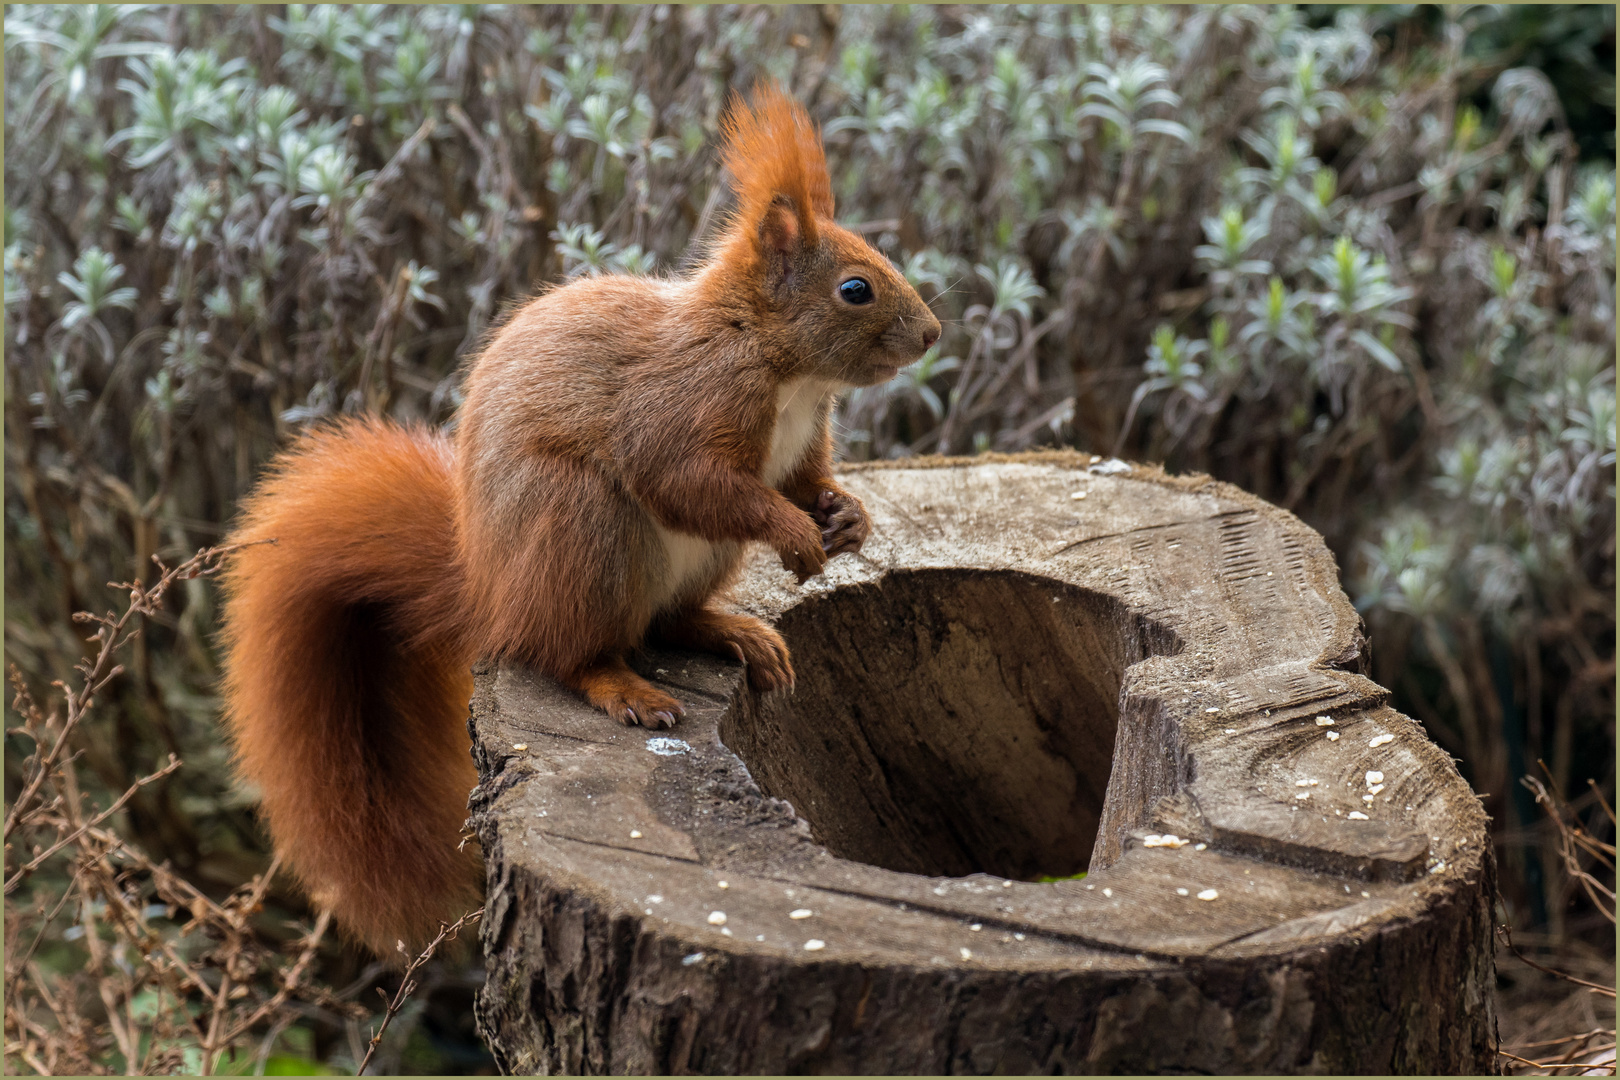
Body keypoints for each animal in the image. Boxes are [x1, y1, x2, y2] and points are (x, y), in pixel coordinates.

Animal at [221, 86, 946, 952]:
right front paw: (800, 535)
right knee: (568, 651)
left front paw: (847, 519)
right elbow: (693, 483)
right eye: (855, 288)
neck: (783, 367)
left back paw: (733, 633)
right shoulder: (682, 408)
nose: (933, 334)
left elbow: (806, 481)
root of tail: (490, 594)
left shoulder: (802, 441)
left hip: (689, 560)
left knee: (668, 620)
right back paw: (623, 686)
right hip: (585, 529)